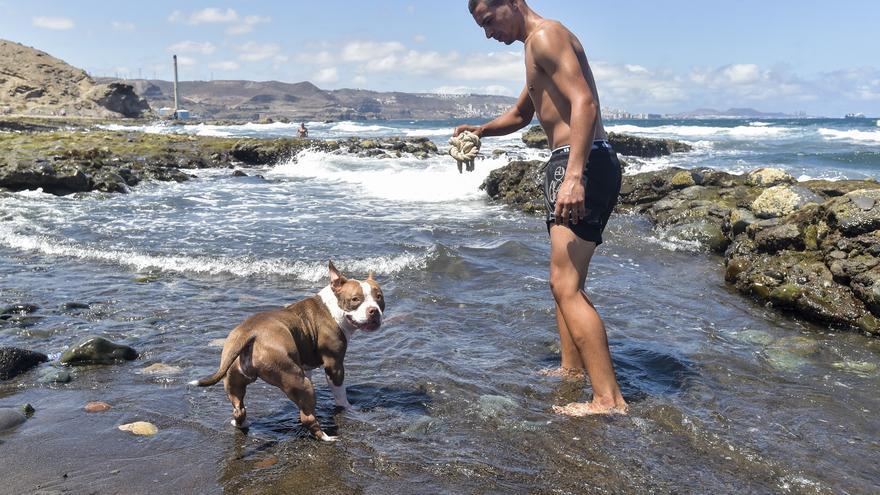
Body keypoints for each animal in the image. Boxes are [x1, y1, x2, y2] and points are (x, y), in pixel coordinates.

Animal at [191, 262, 384, 444]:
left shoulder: (306, 366)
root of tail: (249, 333)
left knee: (239, 409)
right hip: (297, 380)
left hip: (233, 379)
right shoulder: (334, 365)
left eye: (379, 297)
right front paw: (348, 408)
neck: (333, 309)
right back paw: (326, 437)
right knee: (308, 418)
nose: (374, 311)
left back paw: (241, 423)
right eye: (355, 299)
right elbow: (340, 394)